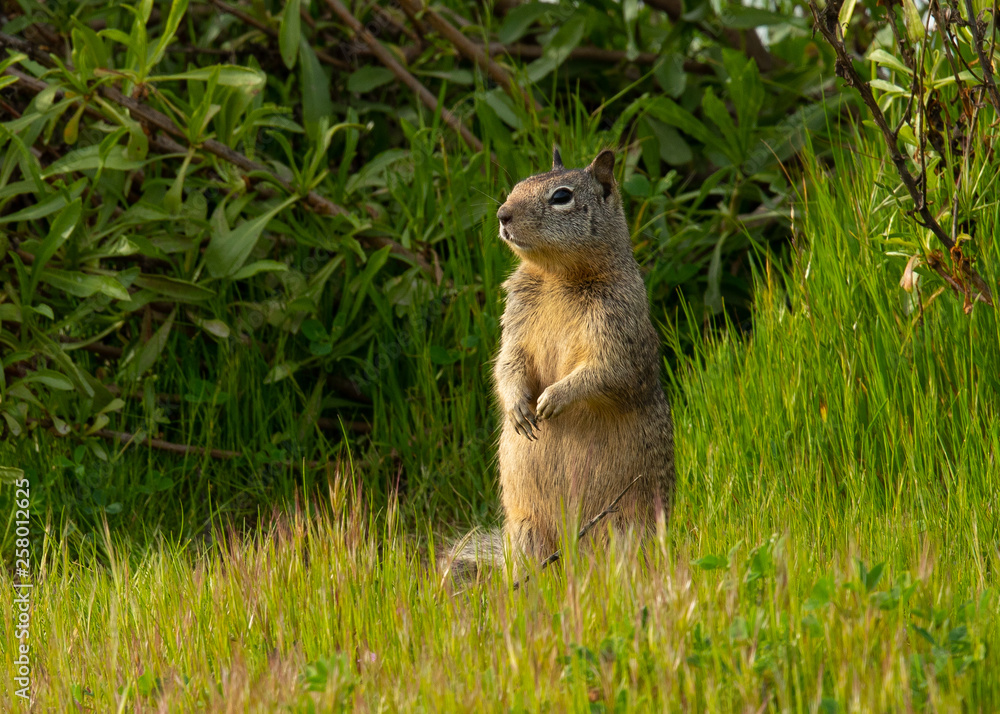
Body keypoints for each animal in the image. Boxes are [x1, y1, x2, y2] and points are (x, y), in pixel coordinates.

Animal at [447, 148, 675, 579]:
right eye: (518, 185)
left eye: (562, 196)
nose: (502, 214)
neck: (557, 276)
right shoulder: (515, 322)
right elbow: (507, 363)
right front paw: (519, 409)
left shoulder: (619, 331)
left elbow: (606, 371)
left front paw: (553, 399)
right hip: (526, 529)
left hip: (624, 528)